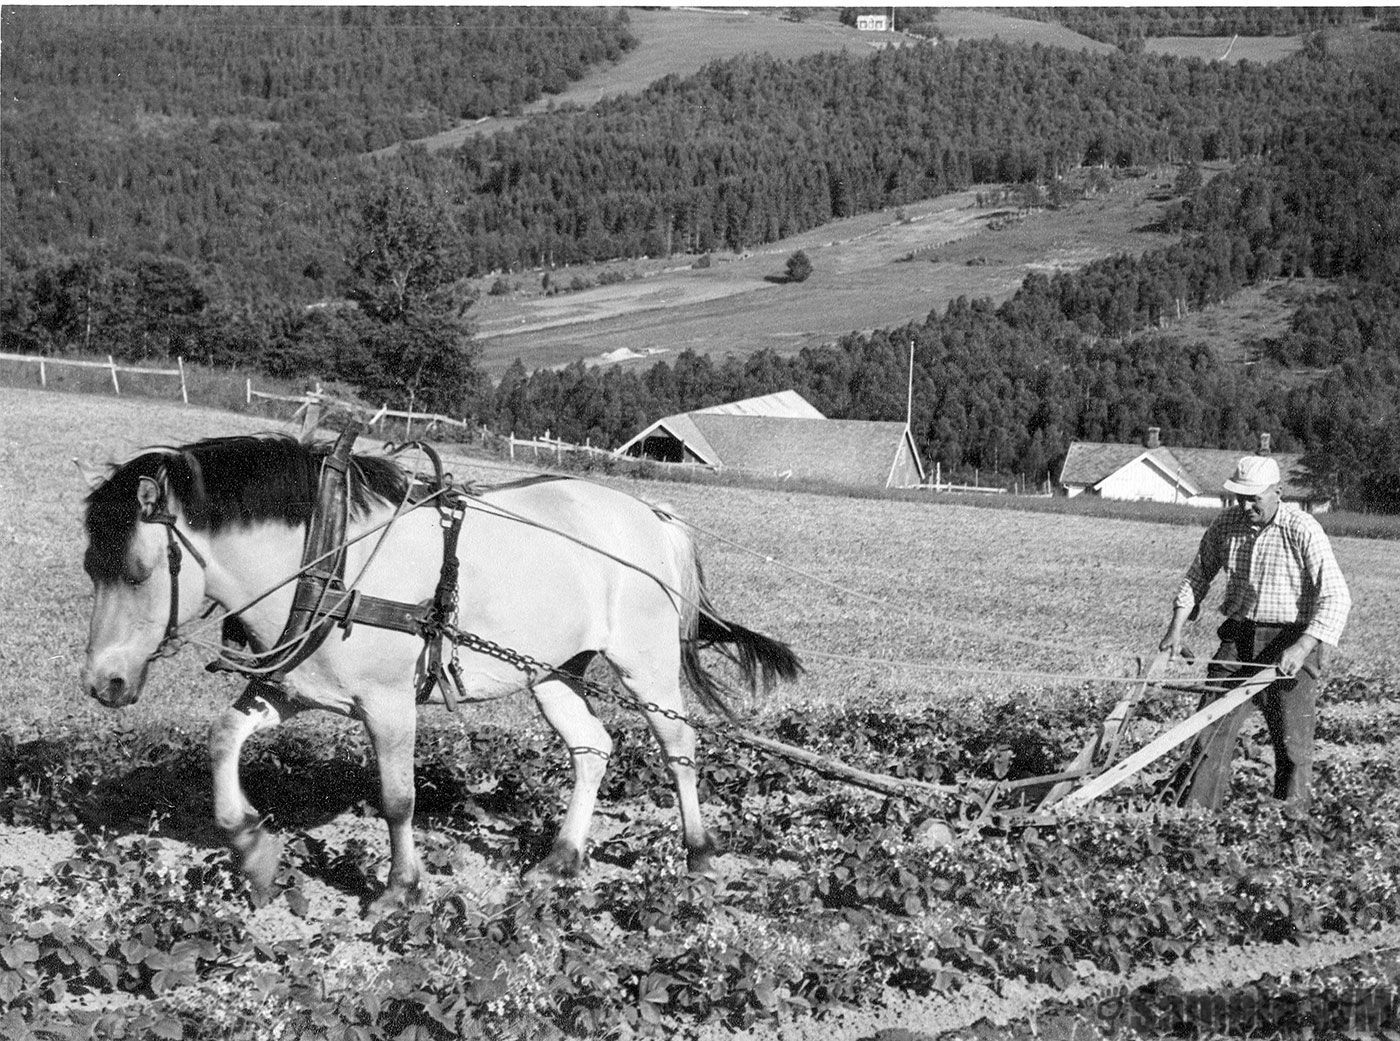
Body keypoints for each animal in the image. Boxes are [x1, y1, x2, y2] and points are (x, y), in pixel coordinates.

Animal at [79, 433, 800, 906]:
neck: (328, 552)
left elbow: (398, 798)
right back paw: (561, 860)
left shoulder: (389, 702)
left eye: (139, 571)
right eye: (91, 566)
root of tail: (651, 514)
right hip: (554, 670)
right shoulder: (293, 688)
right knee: (593, 747)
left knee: (680, 746)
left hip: (644, 663)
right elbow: (223, 738)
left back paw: (699, 855)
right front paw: (253, 853)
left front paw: (400, 890)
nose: (101, 683)